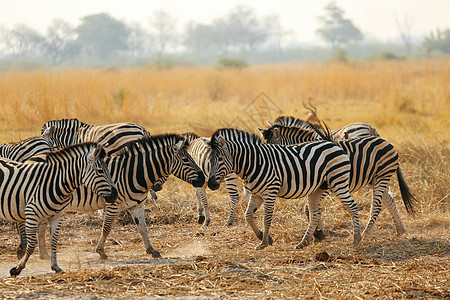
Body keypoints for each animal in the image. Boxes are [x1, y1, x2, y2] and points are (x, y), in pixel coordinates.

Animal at [0, 143, 117, 276]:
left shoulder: (58, 216)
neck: (55, 183)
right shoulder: (31, 213)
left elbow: (54, 242)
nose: (115, 195)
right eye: (100, 171)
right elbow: (31, 245)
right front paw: (18, 268)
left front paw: (55, 267)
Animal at [37, 133, 206, 258]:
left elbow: (143, 228)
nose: (203, 179)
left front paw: (151, 250)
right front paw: (101, 251)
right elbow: (106, 228)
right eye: (185, 159)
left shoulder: (138, 205)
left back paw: (42, 254)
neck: (133, 173)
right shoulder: (113, 205)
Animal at [206, 127, 360, 250]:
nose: (210, 184)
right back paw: (304, 242)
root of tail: (332, 143)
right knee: (315, 214)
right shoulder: (257, 194)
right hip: (317, 189)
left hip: (338, 181)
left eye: (220, 158)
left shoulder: (270, 192)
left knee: (352, 206)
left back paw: (356, 239)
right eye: (210, 160)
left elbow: (266, 218)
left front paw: (263, 243)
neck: (254, 163)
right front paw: (263, 236)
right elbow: (248, 215)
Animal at [258, 123, 416, 238]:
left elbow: (310, 208)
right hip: (374, 179)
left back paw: (366, 233)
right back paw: (400, 230)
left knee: (377, 205)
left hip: (381, 176)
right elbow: (314, 208)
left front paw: (318, 233)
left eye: (272, 150)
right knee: (389, 201)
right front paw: (318, 232)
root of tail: (385, 141)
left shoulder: (325, 185)